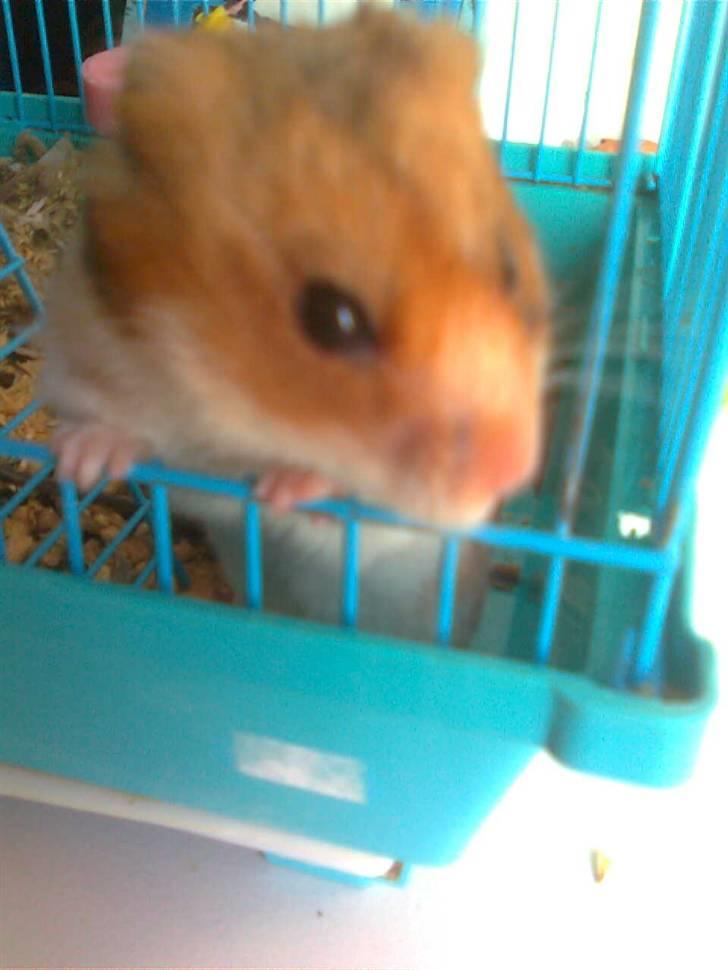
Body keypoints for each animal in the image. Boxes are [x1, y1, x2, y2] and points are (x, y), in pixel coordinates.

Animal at [40, 7, 550, 645]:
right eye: (332, 320)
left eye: (509, 268)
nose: (514, 470)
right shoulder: (93, 358)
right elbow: (119, 428)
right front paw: (77, 461)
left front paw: (288, 488)